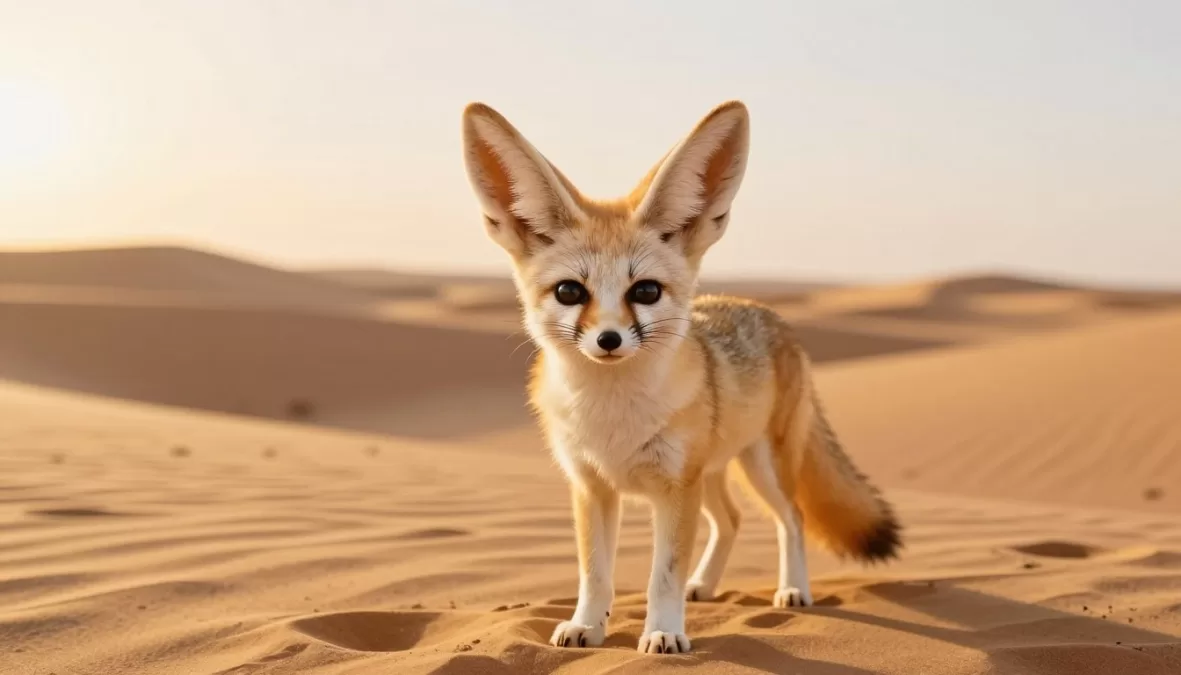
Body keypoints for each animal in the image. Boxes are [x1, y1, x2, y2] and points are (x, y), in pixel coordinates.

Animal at [460, 100, 901, 654]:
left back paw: (793, 589)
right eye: (569, 292)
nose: (609, 340)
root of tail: (769, 315)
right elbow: (594, 574)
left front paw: (663, 632)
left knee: (793, 519)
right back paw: (706, 586)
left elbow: (662, 576)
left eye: (645, 291)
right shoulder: (592, 486)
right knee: (732, 521)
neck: (612, 417)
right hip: (710, 475)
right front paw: (587, 625)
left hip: (759, 469)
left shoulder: (674, 488)